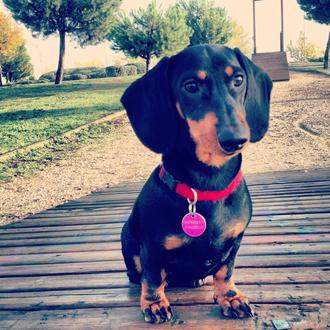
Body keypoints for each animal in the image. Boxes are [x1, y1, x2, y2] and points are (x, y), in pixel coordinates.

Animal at [120, 43, 272, 322]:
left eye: (238, 80)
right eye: (190, 86)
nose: (236, 140)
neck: (207, 184)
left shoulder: (235, 241)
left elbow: (225, 271)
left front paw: (230, 297)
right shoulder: (151, 248)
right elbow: (152, 275)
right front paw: (154, 303)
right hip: (126, 235)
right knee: (140, 273)